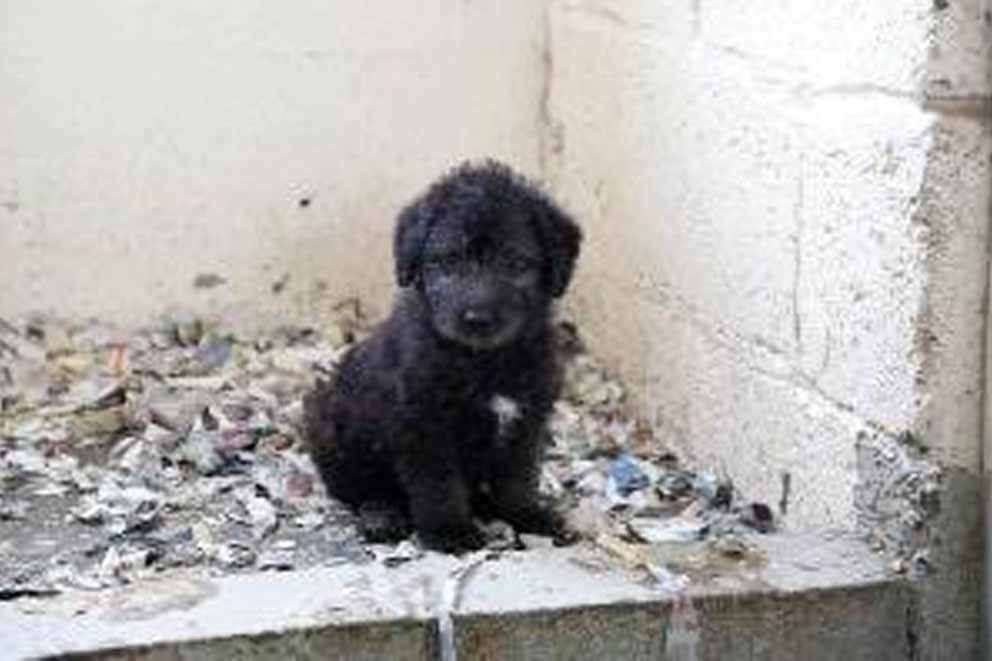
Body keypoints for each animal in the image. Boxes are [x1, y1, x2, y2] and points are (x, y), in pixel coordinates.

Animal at [304, 161, 580, 552]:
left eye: (514, 263)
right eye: (447, 261)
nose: (477, 318)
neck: (483, 362)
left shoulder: (527, 420)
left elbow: (518, 477)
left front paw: (526, 515)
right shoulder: (423, 424)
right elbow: (439, 484)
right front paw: (450, 531)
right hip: (331, 428)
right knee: (360, 490)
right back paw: (381, 515)